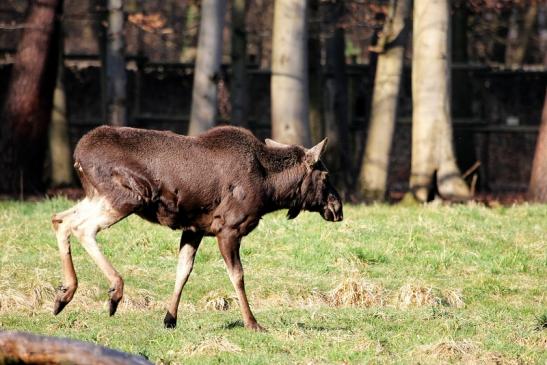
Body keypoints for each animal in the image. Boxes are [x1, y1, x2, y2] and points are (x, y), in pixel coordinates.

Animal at [52, 125, 342, 330]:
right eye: (325, 175)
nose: (338, 207)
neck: (271, 191)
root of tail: (78, 154)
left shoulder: (195, 229)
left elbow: (183, 270)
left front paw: (170, 318)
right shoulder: (228, 228)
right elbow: (237, 276)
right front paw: (252, 322)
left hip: (99, 196)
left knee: (60, 219)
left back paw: (64, 295)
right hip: (128, 196)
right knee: (82, 228)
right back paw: (113, 291)